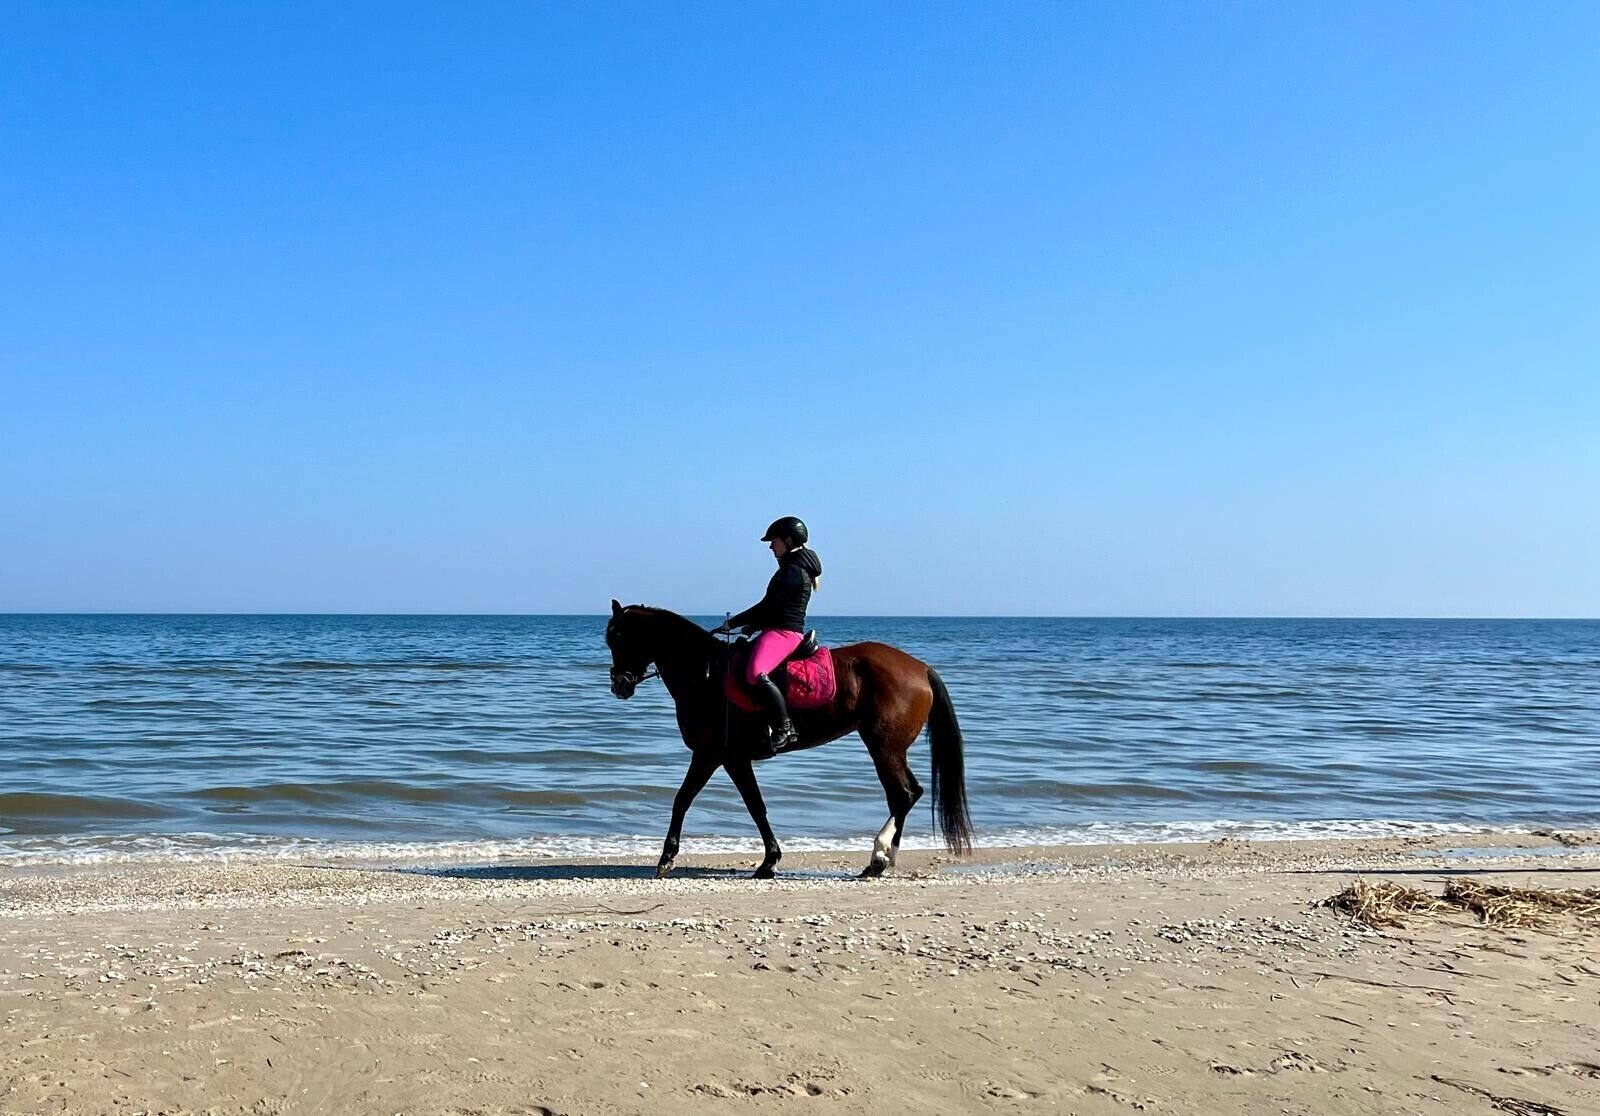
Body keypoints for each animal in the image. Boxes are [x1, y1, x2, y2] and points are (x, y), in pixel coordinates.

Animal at [604, 600, 972, 879]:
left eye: (620, 637)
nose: (619, 685)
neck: (705, 675)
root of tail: (920, 667)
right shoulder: (730, 758)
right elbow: (753, 806)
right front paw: (769, 860)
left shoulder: (715, 755)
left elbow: (688, 800)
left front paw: (667, 858)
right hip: (892, 749)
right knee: (908, 793)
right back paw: (885, 859)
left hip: (884, 747)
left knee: (903, 794)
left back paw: (878, 857)